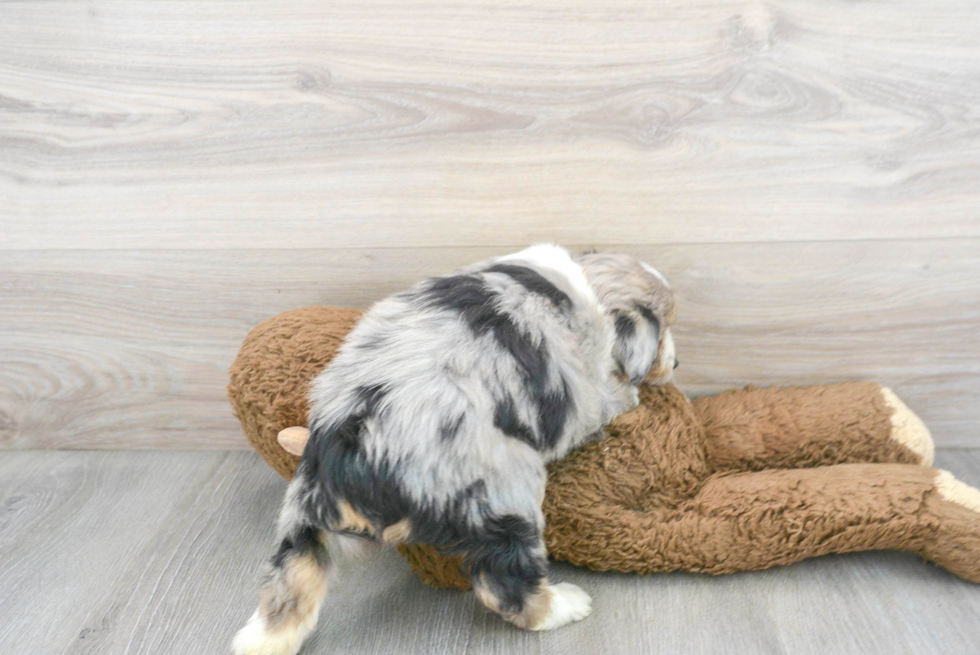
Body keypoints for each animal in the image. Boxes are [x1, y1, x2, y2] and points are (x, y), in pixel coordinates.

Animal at [234, 246, 676, 655]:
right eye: (665, 327)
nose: (675, 363)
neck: (586, 283)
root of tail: (357, 459)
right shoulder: (588, 389)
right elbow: (611, 394)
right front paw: (632, 393)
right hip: (504, 495)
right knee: (504, 584)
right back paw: (565, 604)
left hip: (303, 512)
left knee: (291, 581)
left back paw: (259, 641)